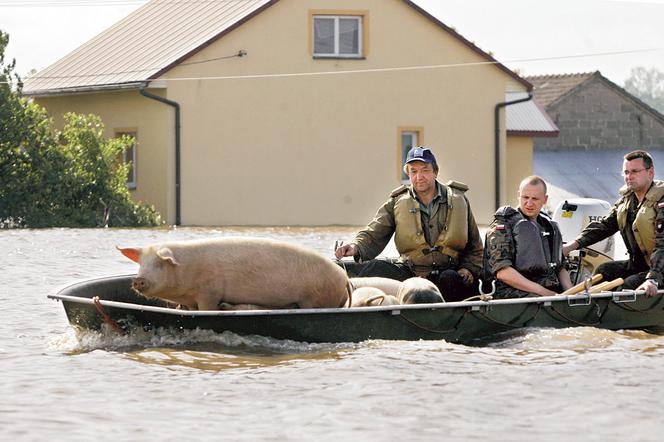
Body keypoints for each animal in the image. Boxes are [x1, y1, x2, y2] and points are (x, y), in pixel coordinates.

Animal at [115, 238, 352, 310]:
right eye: (141, 263)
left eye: (160, 263)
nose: (138, 279)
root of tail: (345, 279)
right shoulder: (191, 300)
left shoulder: (209, 293)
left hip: (316, 300)